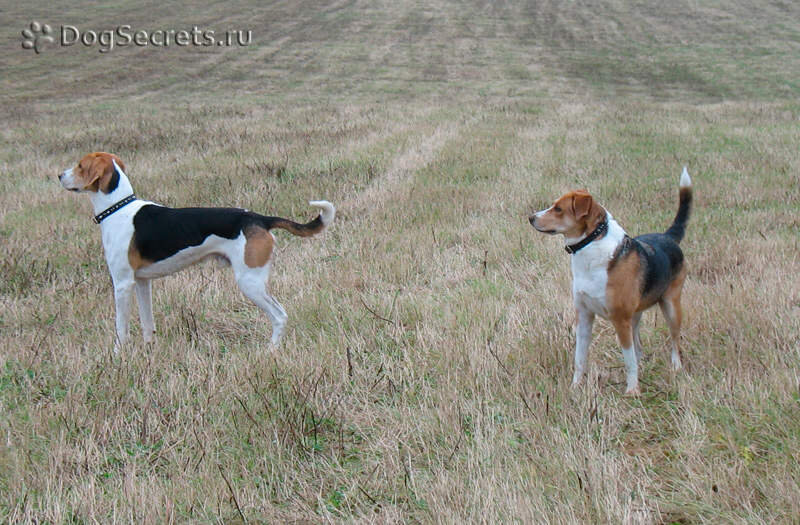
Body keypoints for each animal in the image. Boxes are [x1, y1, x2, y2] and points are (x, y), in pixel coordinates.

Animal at [58, 149, 334, 350]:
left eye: (80, 166)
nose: (59, 175)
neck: (118, 207)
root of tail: (259, 218)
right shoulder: (142, 282)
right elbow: (147, 322)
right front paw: (149, 351)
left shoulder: (123, 283)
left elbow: (121, 328)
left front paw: (119, 355)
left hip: (250, 282)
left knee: (279, 315)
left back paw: (270, 350)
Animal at [528, 168, 692, 392]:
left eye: (559, 209)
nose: (531, 218)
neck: (592, 245)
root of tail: (668, 237)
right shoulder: (584, 316)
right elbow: (580, 359)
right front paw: (575, 386)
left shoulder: (620, 320)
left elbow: (629, 361)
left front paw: (632, 391)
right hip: (635, 316)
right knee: (638, 347)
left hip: (671, 306)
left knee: (674, 339)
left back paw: (676, 366)